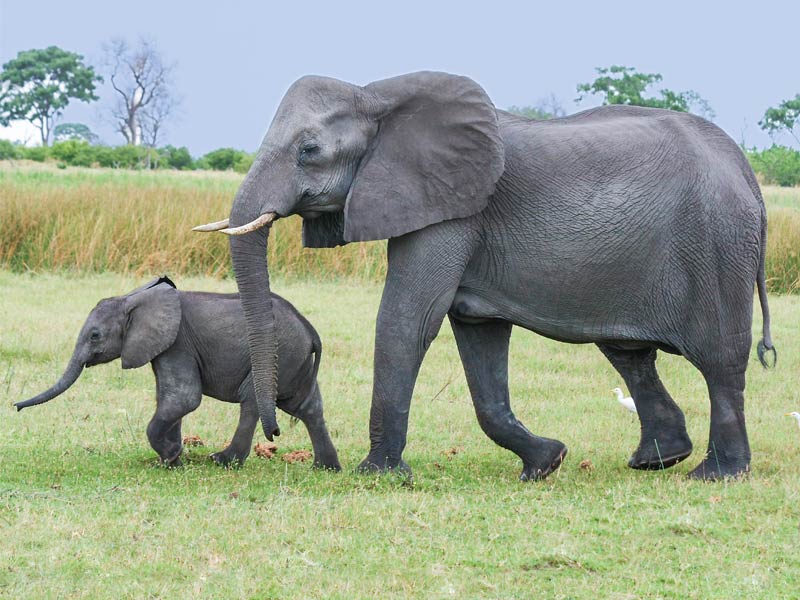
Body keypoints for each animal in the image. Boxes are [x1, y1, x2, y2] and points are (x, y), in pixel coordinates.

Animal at [14, 276, 340, 468]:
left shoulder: (178, 342)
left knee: (253, 401)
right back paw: (325, 467)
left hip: (279, 355)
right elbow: (170, 399)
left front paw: (170, 457)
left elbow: (184, 398)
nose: (15, 407)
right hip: (293, 361)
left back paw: (222, 461)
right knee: (307, 406)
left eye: (95, 336)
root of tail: (310, 330)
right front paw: (173, 458)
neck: (134, 299)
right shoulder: (164, 347)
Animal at [195, 71, 776, 482]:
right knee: (630, 355)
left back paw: (715, 475)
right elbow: (478, 338)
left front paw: (379, 475)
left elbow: (409, 319)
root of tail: (747, 172)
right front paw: (546, 463)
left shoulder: (453, 210)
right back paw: (655, 461)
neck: (377, 95)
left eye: (309, 151)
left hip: (718, 247)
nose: (275, 433)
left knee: (720, 361)